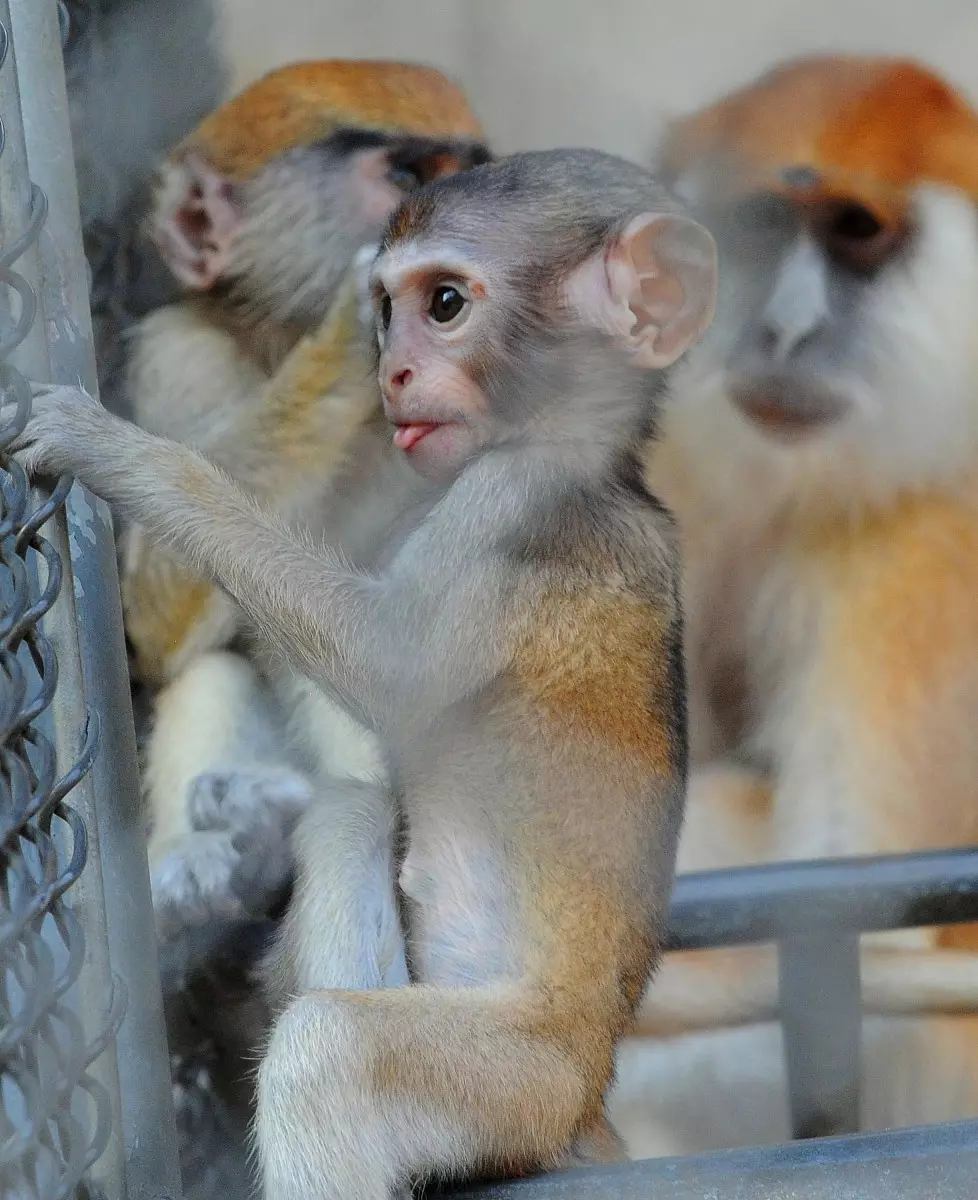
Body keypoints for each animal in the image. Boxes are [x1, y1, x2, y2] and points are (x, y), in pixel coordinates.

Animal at [15, 152, 715, 1200]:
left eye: (446, 303)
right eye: (388, 309)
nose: (393, 371)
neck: (595, 459)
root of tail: (591, 1087)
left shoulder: (518, 508)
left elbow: (386, 661)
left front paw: (120, 451)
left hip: (517, 1082)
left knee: (334, 1048)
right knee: (350, 821)